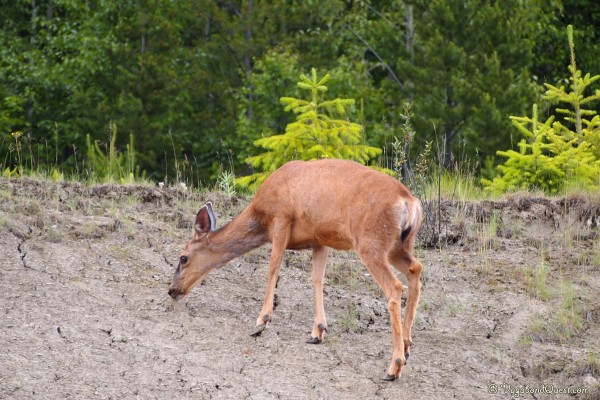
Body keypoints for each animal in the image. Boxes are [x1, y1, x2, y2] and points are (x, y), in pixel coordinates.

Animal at [166, 159, 424, 382]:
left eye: (183, 257)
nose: (171, 290)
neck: (260, 216)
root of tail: (409, 202)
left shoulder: (281, 219)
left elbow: (273, 267)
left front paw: (261, 321)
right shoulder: (319, 239)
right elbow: (317, 278)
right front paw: (318, 331)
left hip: (371, 241)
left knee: (395, 286)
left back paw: (394, 366)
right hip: (398, 245)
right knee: (415, 269)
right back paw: (407, 345)